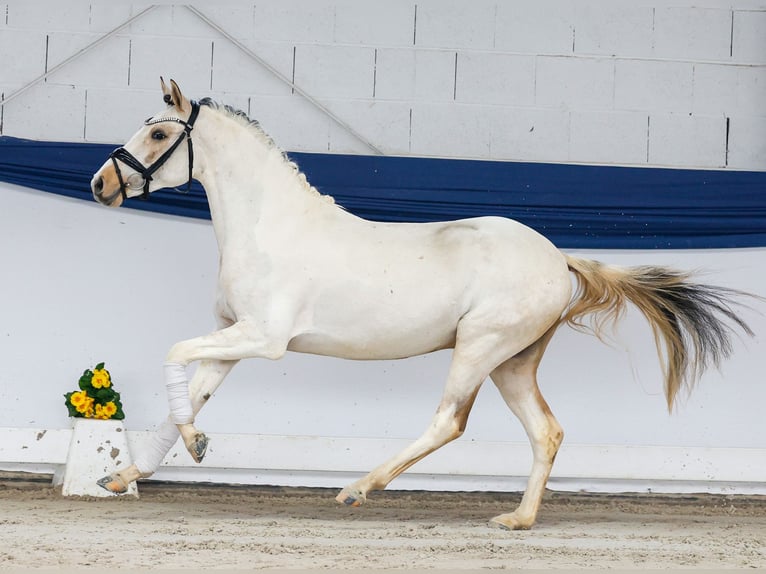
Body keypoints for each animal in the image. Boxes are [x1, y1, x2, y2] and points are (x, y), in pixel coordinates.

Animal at [90, 78, 753, 530]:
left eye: (158, 132)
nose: (101, 184)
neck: (269, 226)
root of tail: (557, 258)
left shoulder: (264, 338)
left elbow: (174, 354)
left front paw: (192, 446)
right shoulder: (233, 335)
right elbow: (191, 392)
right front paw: (126, 473)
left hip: (480, 347)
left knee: (449, 421)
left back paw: (359, 488)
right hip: (513, 362)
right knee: (546, 432)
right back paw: (517, 521)